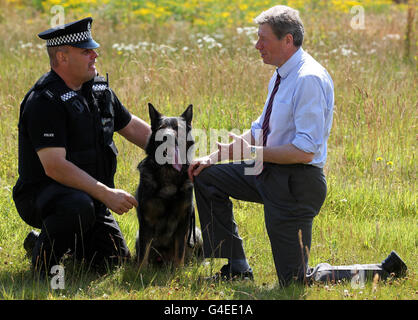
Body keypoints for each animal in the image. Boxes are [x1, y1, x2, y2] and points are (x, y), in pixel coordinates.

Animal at [136, 103, 202, 268]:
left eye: (178, 128)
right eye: (161, 128)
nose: (167, 136)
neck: (168, 171)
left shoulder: (183, 222)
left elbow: (180, 251)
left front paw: (178, 271)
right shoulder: (145, 222)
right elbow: (143, 254)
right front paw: (140, 272)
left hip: (196, 233)